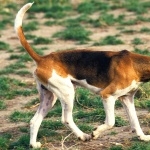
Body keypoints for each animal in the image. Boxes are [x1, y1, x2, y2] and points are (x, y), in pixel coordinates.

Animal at [14, 2, 150, 149]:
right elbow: (110, 122)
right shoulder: (107, 96)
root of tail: (42, 59)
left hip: (49, 98)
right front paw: (96, 132)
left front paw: (143, 137)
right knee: (66, 119)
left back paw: (34, 144)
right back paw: (83, 136)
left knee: (35, 121)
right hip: (67, 92)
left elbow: (135, 121)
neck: (135, 66)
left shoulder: (127, 98)